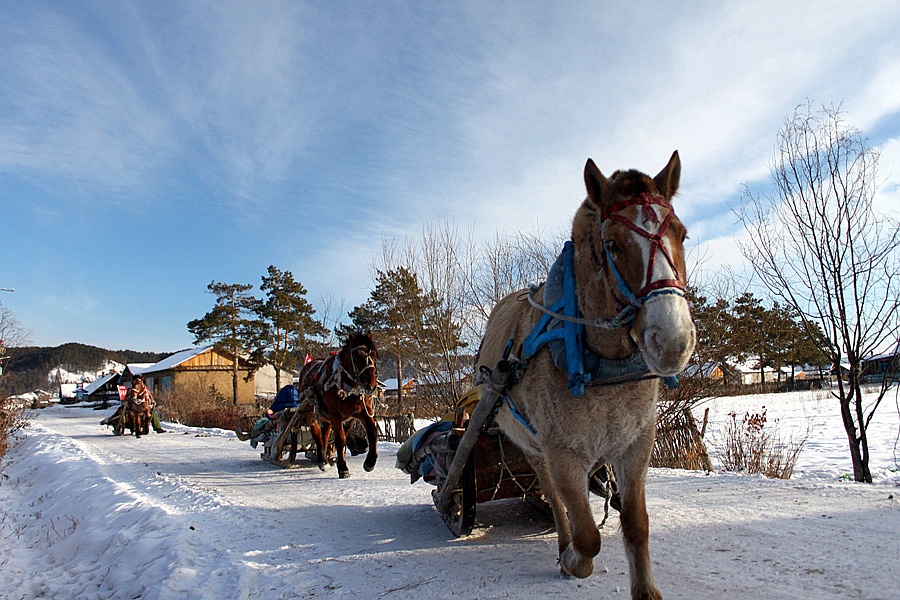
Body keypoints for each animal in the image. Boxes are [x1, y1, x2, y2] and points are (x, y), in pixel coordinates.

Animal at [298, 328, 378, 478]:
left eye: (374, 355)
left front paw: (370, 462)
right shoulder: (336, 415)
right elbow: (340, 440)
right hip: (311, 412)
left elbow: (372, 432)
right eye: (357, 356)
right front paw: (343, 467)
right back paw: (322, 460)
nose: (371, 385)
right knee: (316, 433)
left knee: (324, 434)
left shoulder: (362, 411)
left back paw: (324, 459)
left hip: (326, 416)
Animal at [478, 152, 696, 596]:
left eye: (681, 235)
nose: (672, 340)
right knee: (554, 497)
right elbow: (587, 537)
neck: (603, 370)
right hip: (533, 448)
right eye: (612, 244)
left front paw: (646, 590)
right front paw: (571, 558)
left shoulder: (635, 446)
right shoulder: (562, 453)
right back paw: (563, 545)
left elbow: (636, 525)